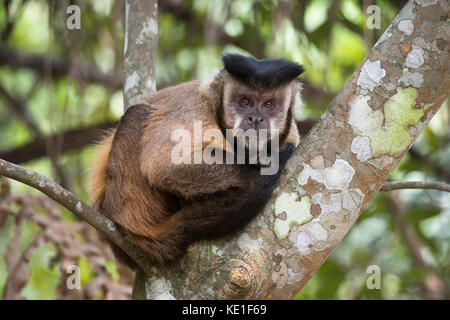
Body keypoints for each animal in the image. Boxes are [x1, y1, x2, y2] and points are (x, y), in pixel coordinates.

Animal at [89, 54, 304, 268]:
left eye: (268, 105)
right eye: (244, 102)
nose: (255, 119)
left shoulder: (291, 132)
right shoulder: (195, 108)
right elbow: (162, 166)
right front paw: (259, 162)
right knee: (136, 115)